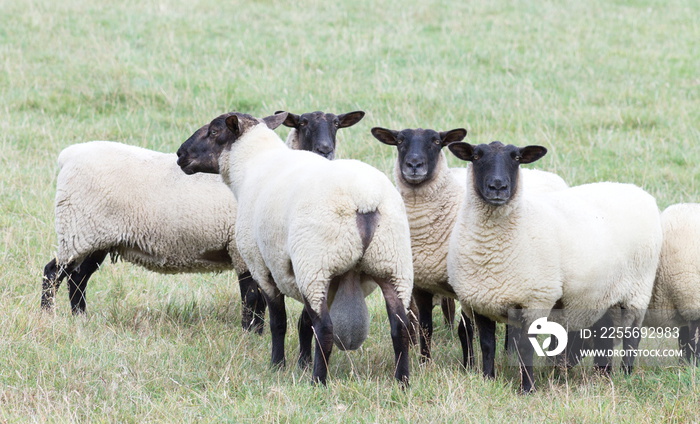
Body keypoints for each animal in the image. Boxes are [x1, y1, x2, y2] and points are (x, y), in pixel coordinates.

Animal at [176, 111, 416, 386]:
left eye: (214, 131)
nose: (180, 154)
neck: (252, 163)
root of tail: (365, 200)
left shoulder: (264, 267)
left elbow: (279, 321)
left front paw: (277, 365)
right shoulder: (312, 274)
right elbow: (303, 323)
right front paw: (302, 363)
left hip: (317, 263)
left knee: (325, 328)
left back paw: (318, 381)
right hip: (391, 264)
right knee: (400, 327)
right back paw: (402, 381)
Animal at [372, 126, 568, 368]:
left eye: (436, 142)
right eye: (399, 141)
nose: (414, 164)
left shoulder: (465, 286)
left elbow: (464, 330)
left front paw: (469, 366)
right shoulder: (422, 285)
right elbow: (426, 328)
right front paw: (425, 363)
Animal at [446, 141, 660, 392]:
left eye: (516, 158)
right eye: (476, 156)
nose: (498, 186)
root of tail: (637, 191)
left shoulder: (535, 300)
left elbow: (525, 347)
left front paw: (527, 389)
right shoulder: (479, 301)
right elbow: (487, 344)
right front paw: (488, 380)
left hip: (638, 290)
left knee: (632, 336)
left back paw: (626, 373)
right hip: (602, 295)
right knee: (603, 333)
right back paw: (602, 375)